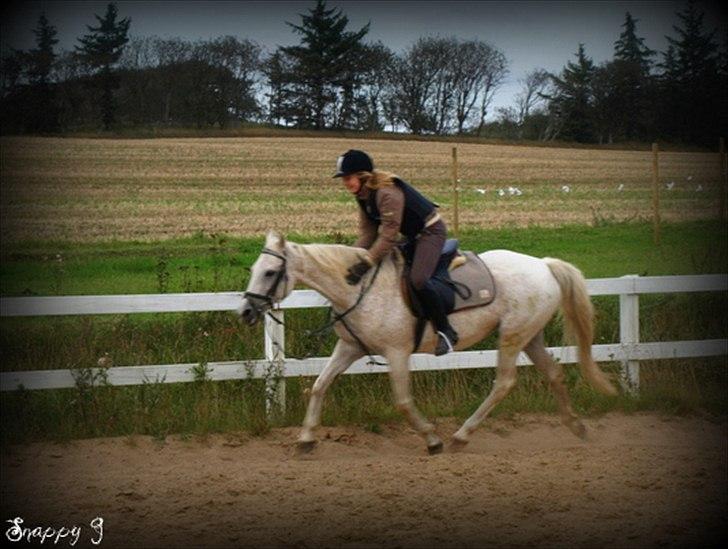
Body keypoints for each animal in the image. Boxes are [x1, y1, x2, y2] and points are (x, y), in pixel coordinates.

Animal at [237, 231, 617, 455]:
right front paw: (305, 438)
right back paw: (577, 427)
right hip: (529, 336)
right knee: (553, 373)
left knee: (504, 382)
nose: (246, 311)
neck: (358, 287)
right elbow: (319, 386)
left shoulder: (397, 353)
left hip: (512, 337)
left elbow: (403, 401)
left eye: (270, 272)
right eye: (254, 268)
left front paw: (432, 439)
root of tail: (544, 264)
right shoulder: (349, 348)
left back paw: (461, 436)